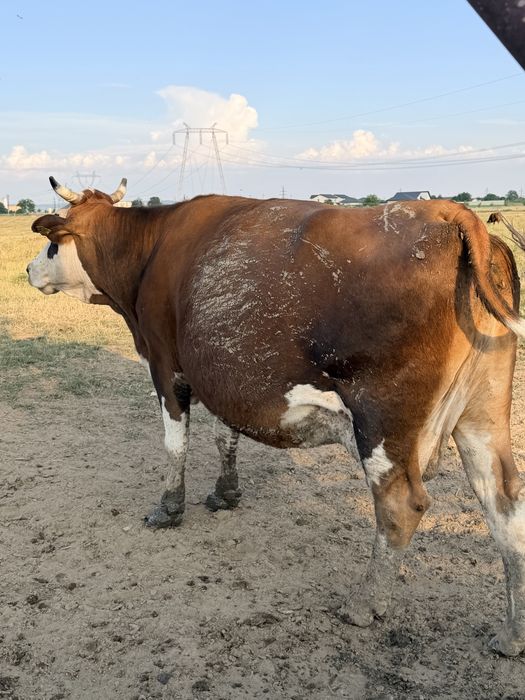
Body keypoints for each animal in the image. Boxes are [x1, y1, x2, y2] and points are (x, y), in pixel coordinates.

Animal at [27, 176, 525, 655]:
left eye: (52, 245)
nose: (29, 269)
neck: (151, 247)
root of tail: (450, 215)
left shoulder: (166, 366)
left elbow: (175, 444)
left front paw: (168, 508)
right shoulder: (224, 378)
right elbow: (224, 437)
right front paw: (225, 492)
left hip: (383, 421)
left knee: (400, 505)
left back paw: (364, 604)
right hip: (482, 414)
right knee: (504, 501)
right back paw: (512, 636)